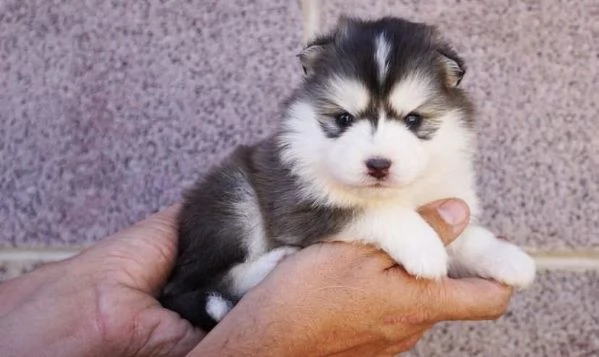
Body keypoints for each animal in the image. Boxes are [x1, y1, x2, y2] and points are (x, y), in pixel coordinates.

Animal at [158, 16, 536, 328]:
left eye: (413, 119)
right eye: (343, 118)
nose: (378, 164)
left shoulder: (445, 197)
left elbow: (468, 236)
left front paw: (507, 257)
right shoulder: (297, 206)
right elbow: (371, 210)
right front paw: (423, 245)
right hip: (234, 198)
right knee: (190, 284)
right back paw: (273, 263)